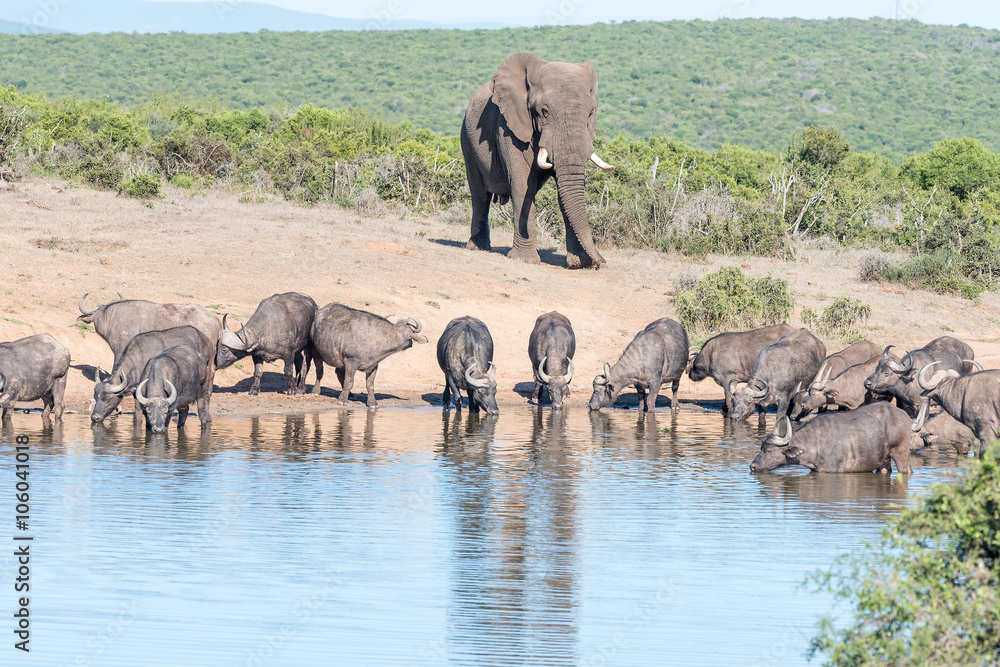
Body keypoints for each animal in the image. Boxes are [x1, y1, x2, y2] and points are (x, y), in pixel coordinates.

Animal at [460, 53, 615, 269]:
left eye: (591, 113)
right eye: (544, 111)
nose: (601, 262)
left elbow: (564, 192)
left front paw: (579, 263)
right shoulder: (507, 126)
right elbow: (522, 186)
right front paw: (525, 260)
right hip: (467, 140)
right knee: (480, 195)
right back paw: (477, 247)